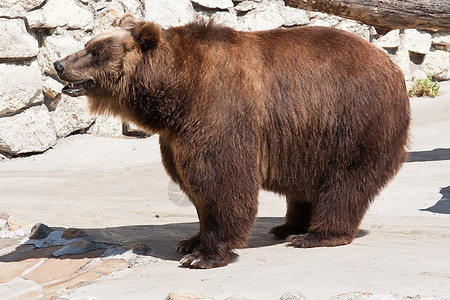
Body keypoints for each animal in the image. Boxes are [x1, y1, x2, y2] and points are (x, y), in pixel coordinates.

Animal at [53, 14, 412, 268]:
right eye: (88, 44)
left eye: (95, 52)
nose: (59, 64)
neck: (175, 95)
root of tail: (391, 65)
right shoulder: (176, 137)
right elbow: (193, 186)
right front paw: (190, 241)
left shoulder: (219, 112)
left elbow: (221, 182)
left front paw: (202, 256)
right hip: (309, 138)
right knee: (305, 185)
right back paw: (286, 227)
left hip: (355, 120)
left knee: (346, 182)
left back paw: (315, 235)